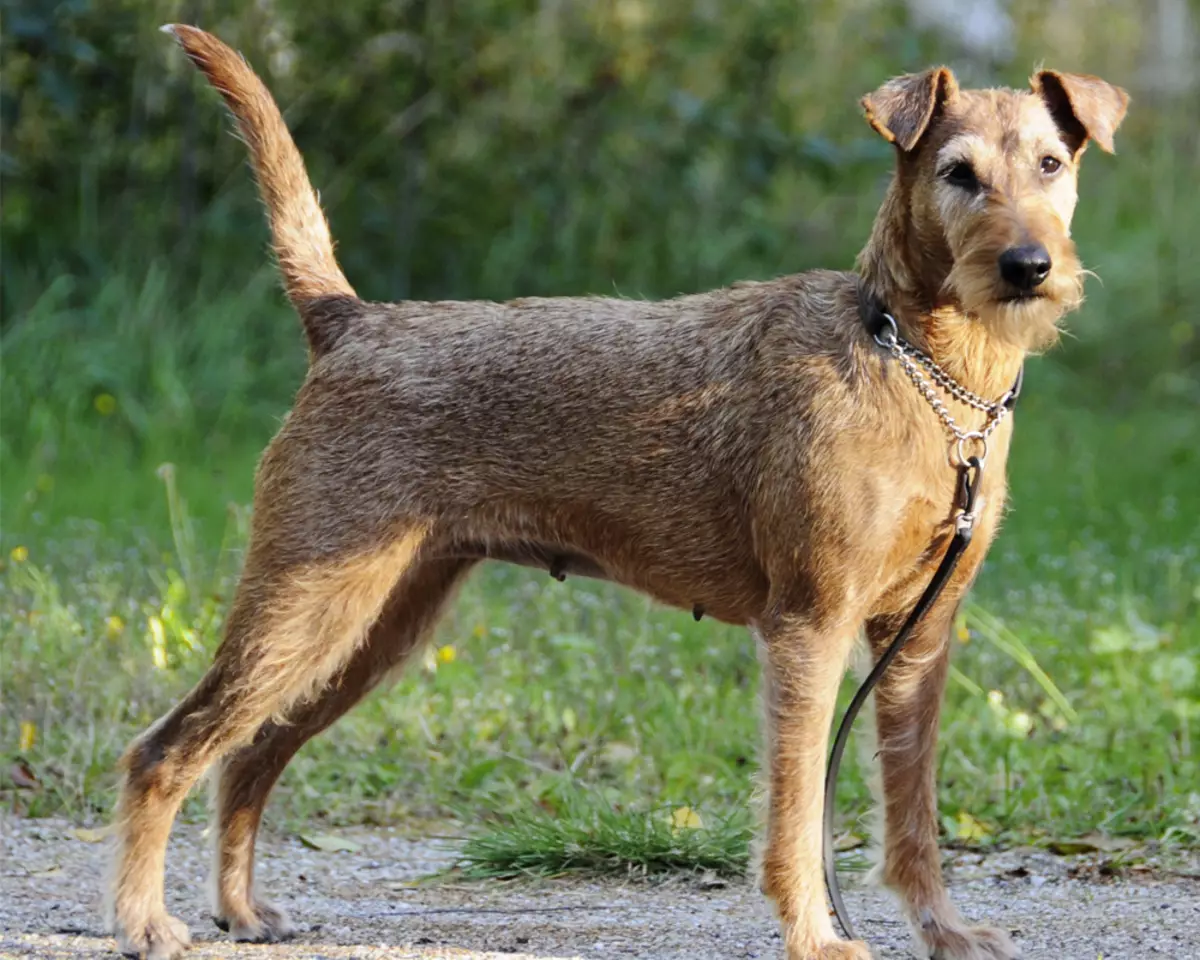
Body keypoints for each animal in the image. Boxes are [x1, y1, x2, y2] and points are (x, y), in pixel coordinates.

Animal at [108, 26, 1128, 960]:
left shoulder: (918, 641)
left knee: (249, 755)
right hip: (307, 604)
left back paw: (241, 909)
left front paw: (945, 931)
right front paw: (816, 935)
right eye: (958, 173)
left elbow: (911, 810)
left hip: (370, 629)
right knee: (166, 750)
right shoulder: (810, 626)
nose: (1029, 267)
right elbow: (797, 809)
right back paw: (146, 921)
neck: (918, 365)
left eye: (1050, 163)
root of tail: (349, 320)